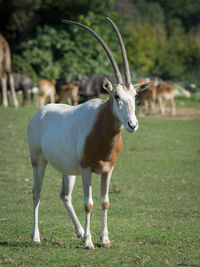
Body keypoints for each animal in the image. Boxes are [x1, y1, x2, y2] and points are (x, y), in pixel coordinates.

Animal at [27, 17, 152, 250]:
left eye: (135, 96)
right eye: (116, 96)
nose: (132, 124)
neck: (99, 126)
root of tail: (39, 113)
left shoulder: (107, 170)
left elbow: (104, 202)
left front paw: (105, 239)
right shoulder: (86, 169)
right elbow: (88, 204)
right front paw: (89, 242)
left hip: (68, 170)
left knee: (65, 196)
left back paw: (79, 232)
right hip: (38, 162)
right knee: (36, 193)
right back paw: (36, 236)